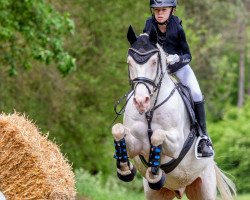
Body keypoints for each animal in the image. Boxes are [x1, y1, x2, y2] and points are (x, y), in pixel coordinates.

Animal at [111, 25, 236, 199]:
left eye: (154, 62)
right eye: (129, 63)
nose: (141, 101)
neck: (150, 110)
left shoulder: (176, 144)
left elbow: (157, 135)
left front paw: (155, 172)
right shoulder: (136, 144)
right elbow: (117, 130)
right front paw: (125, 169)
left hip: (205, 188)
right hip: (157, 194)